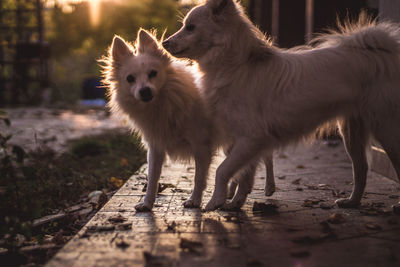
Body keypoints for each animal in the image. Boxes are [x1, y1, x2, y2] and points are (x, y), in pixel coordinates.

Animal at [101, 29, 274, 213]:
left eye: (153, 73)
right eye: (130, 79)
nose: (145, 91)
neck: (163, 103)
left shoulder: (201, 146)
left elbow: (199, 177)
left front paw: (194, 201)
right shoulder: (156, 147)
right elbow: (152, 178)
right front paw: (147, 203)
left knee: (263, 160)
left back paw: (266, 188)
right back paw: (231, 193)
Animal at [162, 0, 400, 214]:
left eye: (190, 27)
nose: (164, 43)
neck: (236, 66)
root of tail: (379, 51)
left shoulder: (251, 138)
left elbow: (223, 170)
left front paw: (215, 202)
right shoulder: (247, 142)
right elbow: (244, 175)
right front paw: (235, 203)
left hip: (386, 128)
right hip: (351, 132)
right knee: (361, 169)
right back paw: (351, 202)